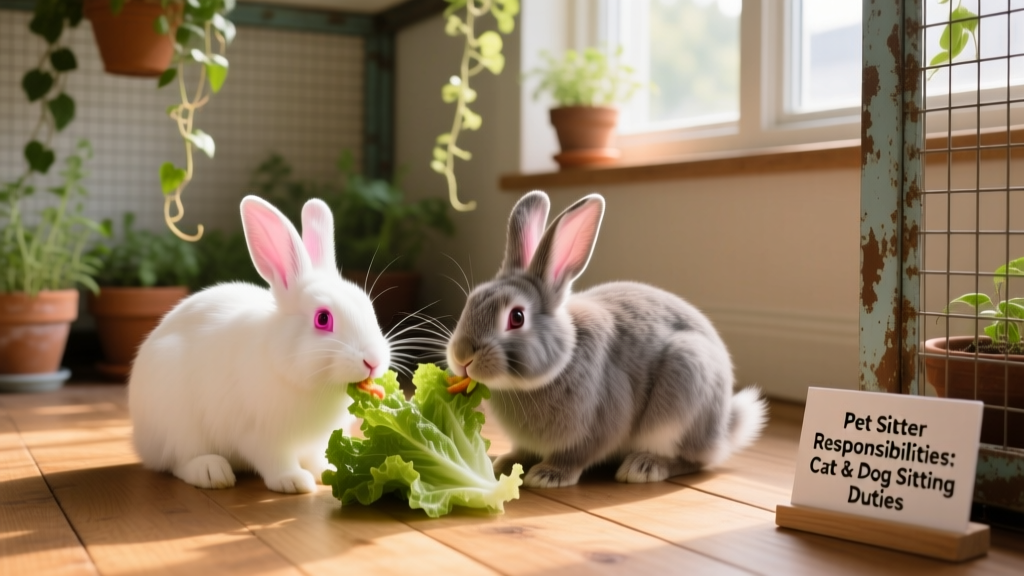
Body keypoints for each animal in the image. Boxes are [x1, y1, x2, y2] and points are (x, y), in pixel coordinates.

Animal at [129, 195, 390, 494]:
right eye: (323, 318)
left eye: (368, 306)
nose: (373, 361)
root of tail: (140, 439)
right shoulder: (259, 434)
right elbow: (275, 460)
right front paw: (294, 481)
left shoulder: (316, 440)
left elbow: (317, 457)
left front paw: (329, 471)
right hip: (178, 426)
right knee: (179, 461)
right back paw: (211, 472)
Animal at [446, 190, 767, 488]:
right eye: (472, 301)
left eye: (516, 317)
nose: (462, 357)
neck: (562, 360)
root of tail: (724, 428)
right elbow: (522, 451)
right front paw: (505, 463)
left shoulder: (596, 425)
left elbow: (575, 455)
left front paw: (548, 475)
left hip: (684, 389)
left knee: (691, 460)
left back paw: (643, 467)